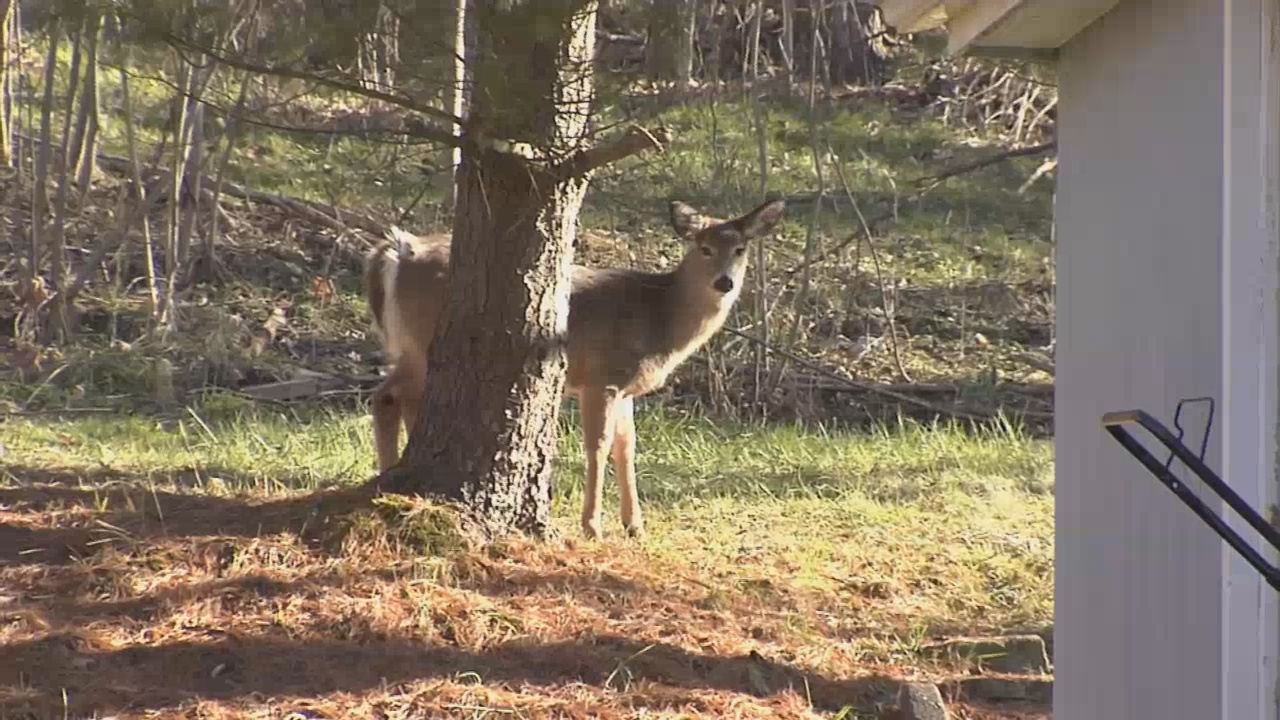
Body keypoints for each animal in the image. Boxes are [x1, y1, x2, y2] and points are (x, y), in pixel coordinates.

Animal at [363, 198, 787, 540]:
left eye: (740, 249)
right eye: (704, 248)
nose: (724, 282)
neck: (659, 316)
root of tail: (398, 250)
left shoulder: (624, 387)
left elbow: (627, 446)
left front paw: (634, 525)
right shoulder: (601, 378)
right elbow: (597, 446)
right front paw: (593, 526)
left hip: (409, 346)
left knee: (390, 397)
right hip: (423, 342)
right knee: (392, 396)